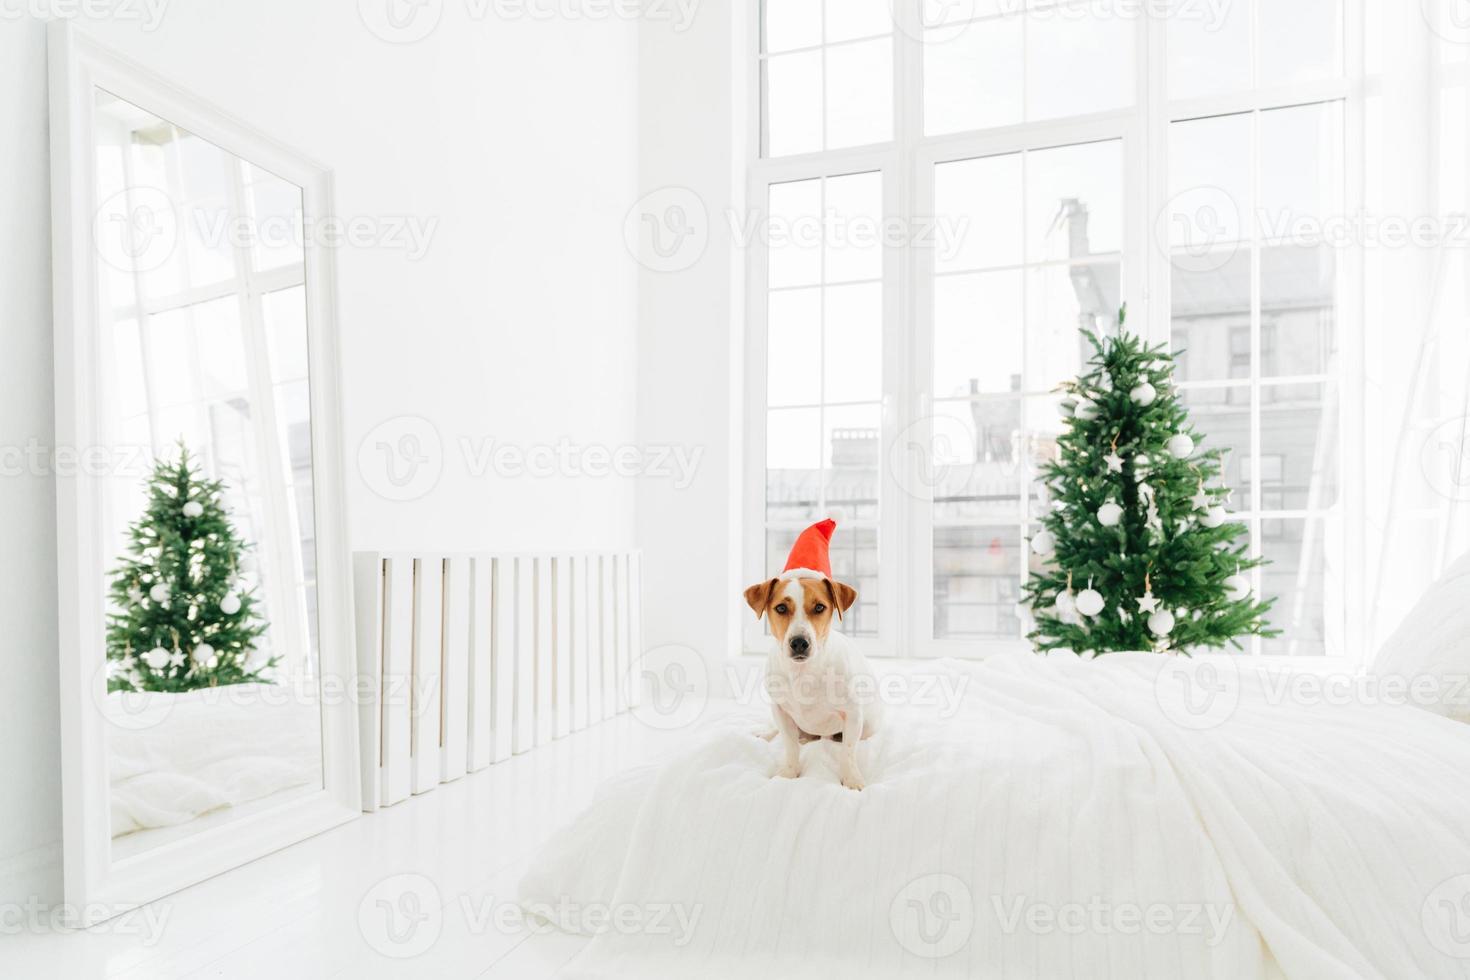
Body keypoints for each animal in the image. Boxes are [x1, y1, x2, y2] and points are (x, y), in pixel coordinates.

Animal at [746, 517, 882, 793]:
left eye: (819, 607)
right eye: (781, 608)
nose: (799, 642)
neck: (804, 672)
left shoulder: (853, 714)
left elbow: (848, 751)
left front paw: (852, 779)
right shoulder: (781, 711)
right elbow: (789, 746)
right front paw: (788, 773)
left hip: (868, 723)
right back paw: (766, 734)